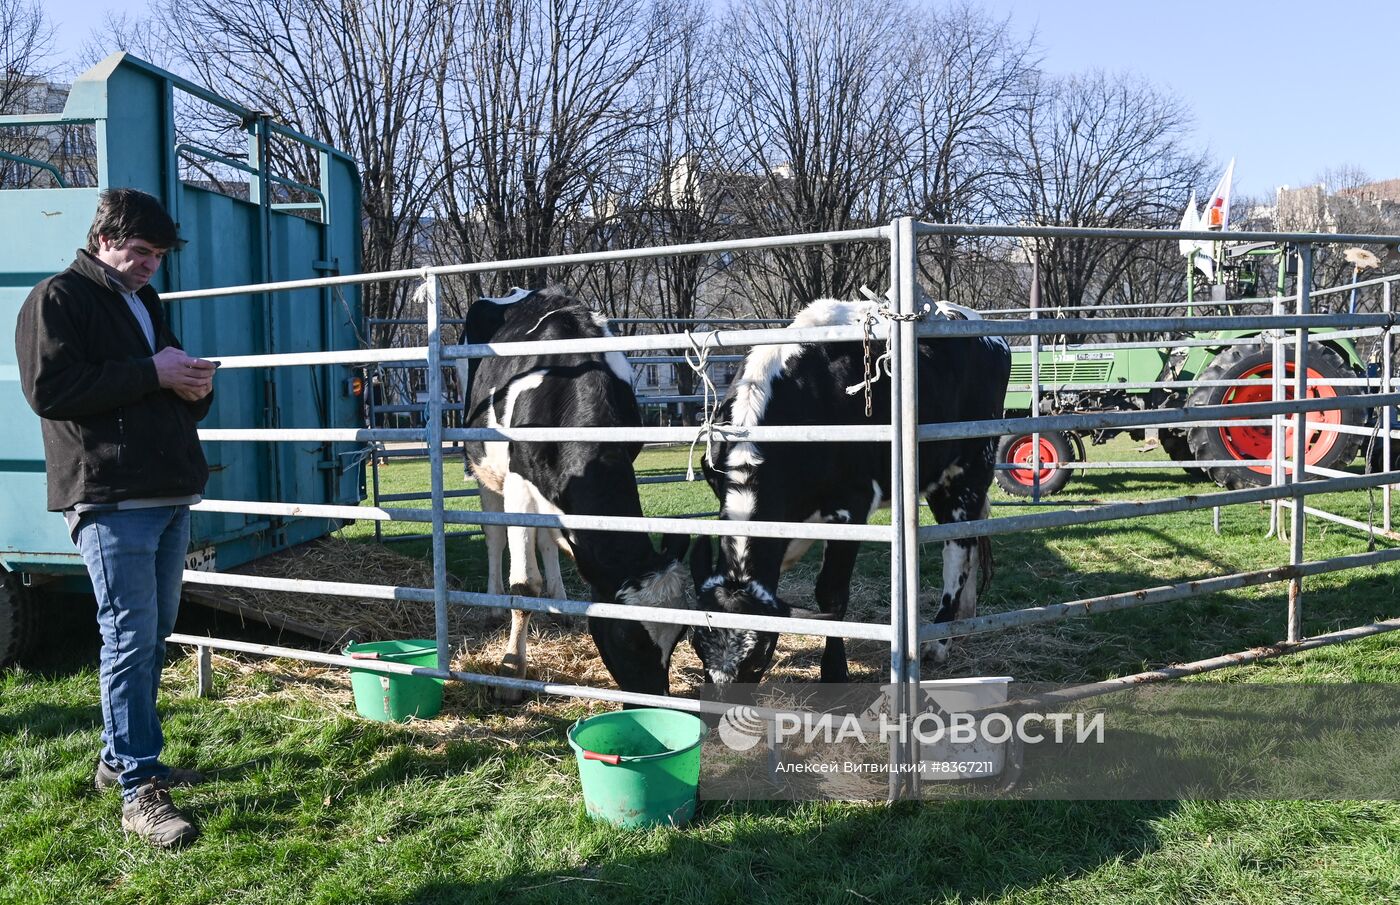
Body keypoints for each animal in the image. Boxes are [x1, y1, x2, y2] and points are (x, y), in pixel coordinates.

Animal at [459, 292, 694, 703]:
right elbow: (523, 585)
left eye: (678, 637)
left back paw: (559, 603)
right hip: (483, 467)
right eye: (630, 638)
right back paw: (492, 605)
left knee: (545, 541)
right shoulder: (518, 481)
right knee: (494, 537)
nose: (655, 697)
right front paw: (510, 670)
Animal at [694, 301, 1013, 683]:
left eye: (756, 659)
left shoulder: (850, 507)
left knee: (958, 549)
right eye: (699, 651)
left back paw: (938, 641)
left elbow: (831, 595)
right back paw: (962, 622)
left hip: (969, 469)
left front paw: (835, 671)